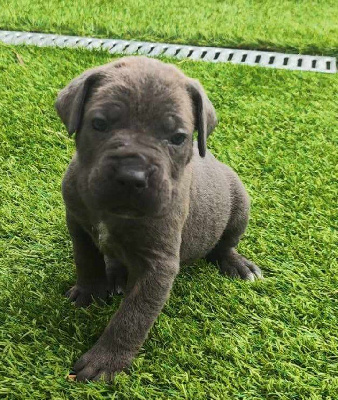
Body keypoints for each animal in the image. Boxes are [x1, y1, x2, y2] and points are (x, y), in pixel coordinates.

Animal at [54, 55, 262, 382]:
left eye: (177, 138)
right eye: (99, 124)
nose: (132, 176)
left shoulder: (158, 264)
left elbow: (133, 316)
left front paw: (106, 359)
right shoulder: (77, 223)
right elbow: (86, 262)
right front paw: (88, 293)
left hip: (239, 204)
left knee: (225, 244)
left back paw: (238, 264)